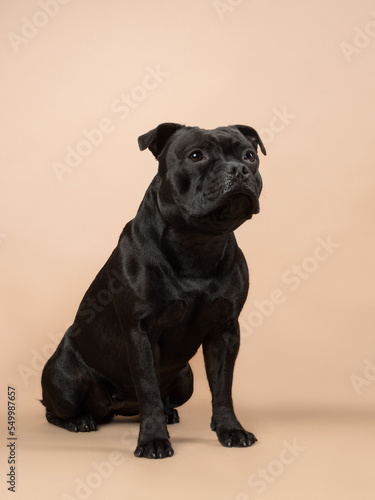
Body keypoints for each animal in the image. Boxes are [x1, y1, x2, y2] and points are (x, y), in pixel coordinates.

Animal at [41, 123, 268, 458]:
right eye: (196, 156)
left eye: (250, 155)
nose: (239, 169)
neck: (197, 241)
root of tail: (116, 407)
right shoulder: (142, 332)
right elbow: (147, 388)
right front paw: (152, 440)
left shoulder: (225, 332)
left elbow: (222, 387)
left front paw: (230, 429)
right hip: (64, 381)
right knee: (55, 409)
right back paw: (79, 421)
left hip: (186, 379)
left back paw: (169, 413)